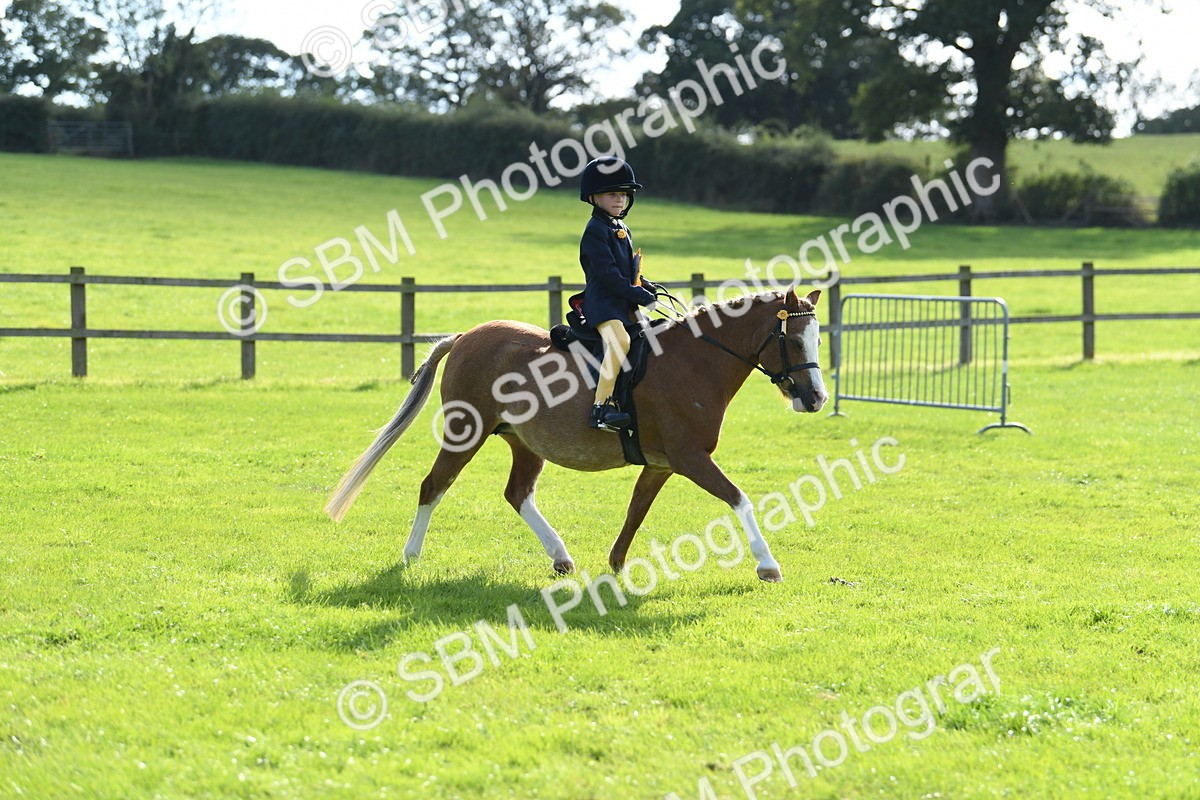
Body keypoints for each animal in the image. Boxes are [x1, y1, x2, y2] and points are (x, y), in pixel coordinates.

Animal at [325, 286, 827, 582]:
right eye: (794, 340)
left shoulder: (662, 465)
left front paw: (617, 564)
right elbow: (739, 499)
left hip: (524, 442)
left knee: (517, 494)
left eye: (818, 339)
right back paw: (411, 555)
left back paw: (561, 557)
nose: (817, 398)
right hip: (466, 431)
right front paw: (767, 565)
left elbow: (636, 511)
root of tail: (466, 336)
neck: (695, 361)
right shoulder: (689, 459)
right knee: (434, 485)